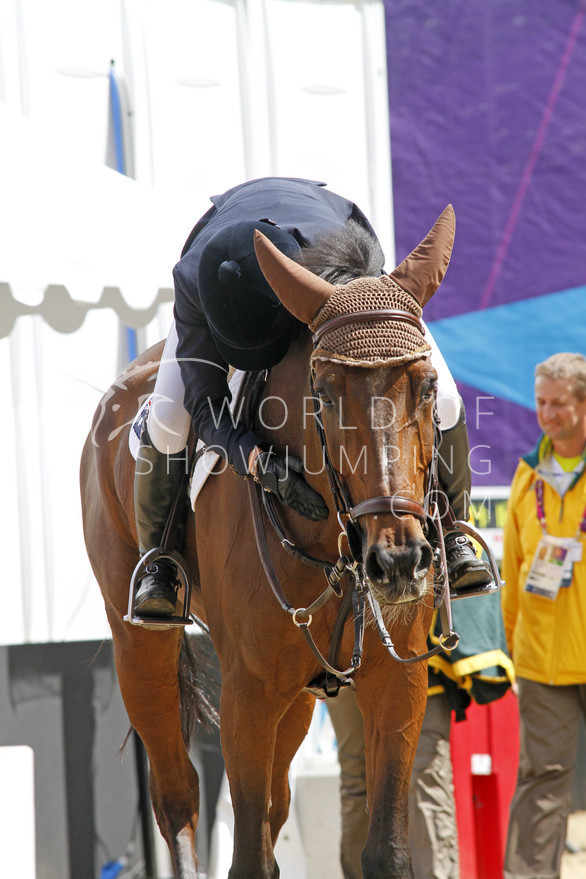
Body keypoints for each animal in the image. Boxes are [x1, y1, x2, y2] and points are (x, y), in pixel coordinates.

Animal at [81, 203, 456, 876]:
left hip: (300, 695)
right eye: (324, 394)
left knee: (277, 803)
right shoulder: (247, 696)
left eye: (429, 387)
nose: (398, 563)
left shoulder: (397, 683)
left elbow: (385, 850)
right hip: (139, 649)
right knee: (177, 795)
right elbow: (248, 854)